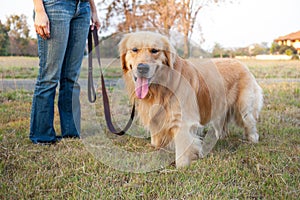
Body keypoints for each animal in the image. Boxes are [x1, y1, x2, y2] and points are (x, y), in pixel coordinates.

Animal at [118, 31, 264, 168]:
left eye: (154, 50)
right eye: (134, 50)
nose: (142, 68)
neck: (161, 87)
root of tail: (240, 62)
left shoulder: (183, 120)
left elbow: (182, 149)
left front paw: (182, 167)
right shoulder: (155, 116)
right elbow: (156, 138)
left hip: (243, 109)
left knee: (250, 123)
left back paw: (252, 139)